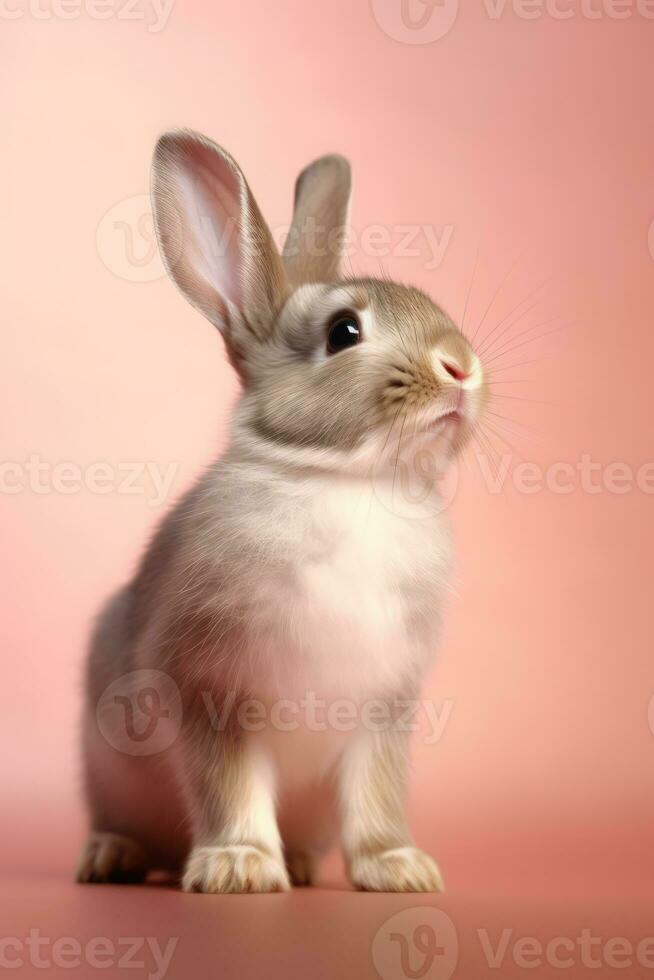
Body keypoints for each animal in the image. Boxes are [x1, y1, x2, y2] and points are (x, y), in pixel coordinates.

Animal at [77, 130, 486, 896]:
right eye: (344, 331)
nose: (461, 366)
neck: (351, 480)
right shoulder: (212, 690)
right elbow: (229, 784)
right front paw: (237, 867)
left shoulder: (384, 708)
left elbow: (378, 792)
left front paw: (400, 868)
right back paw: (109, 857)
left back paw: (298, 864)